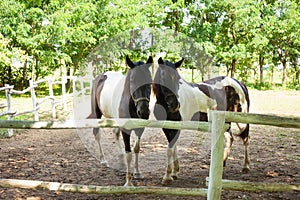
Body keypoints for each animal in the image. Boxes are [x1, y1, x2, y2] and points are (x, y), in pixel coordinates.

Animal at [87, 55, 152, 186]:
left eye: (149, 80)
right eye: (133, 81)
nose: (143, 112)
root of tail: (101, 76)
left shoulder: (140, 128)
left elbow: (136, 148)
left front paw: (137, 172)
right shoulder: (126, 129)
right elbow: (129, 154)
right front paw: (128, 182)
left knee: (115, 134)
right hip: (97, 114)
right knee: (97, 134)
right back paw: (103, 160)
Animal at [152, 56, 251, 184]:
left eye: (178, 79)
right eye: (163, 77)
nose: (175, 105)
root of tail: (239, 83)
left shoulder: (176, 127)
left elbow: (170, 150)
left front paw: (167, 176)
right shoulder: (167, 127)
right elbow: (174, 149)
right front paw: (175, 172)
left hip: (241, 120)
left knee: (246, 139)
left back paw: (246, 166)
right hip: (225, 121)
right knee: (230, 138)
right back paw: (223, 163)